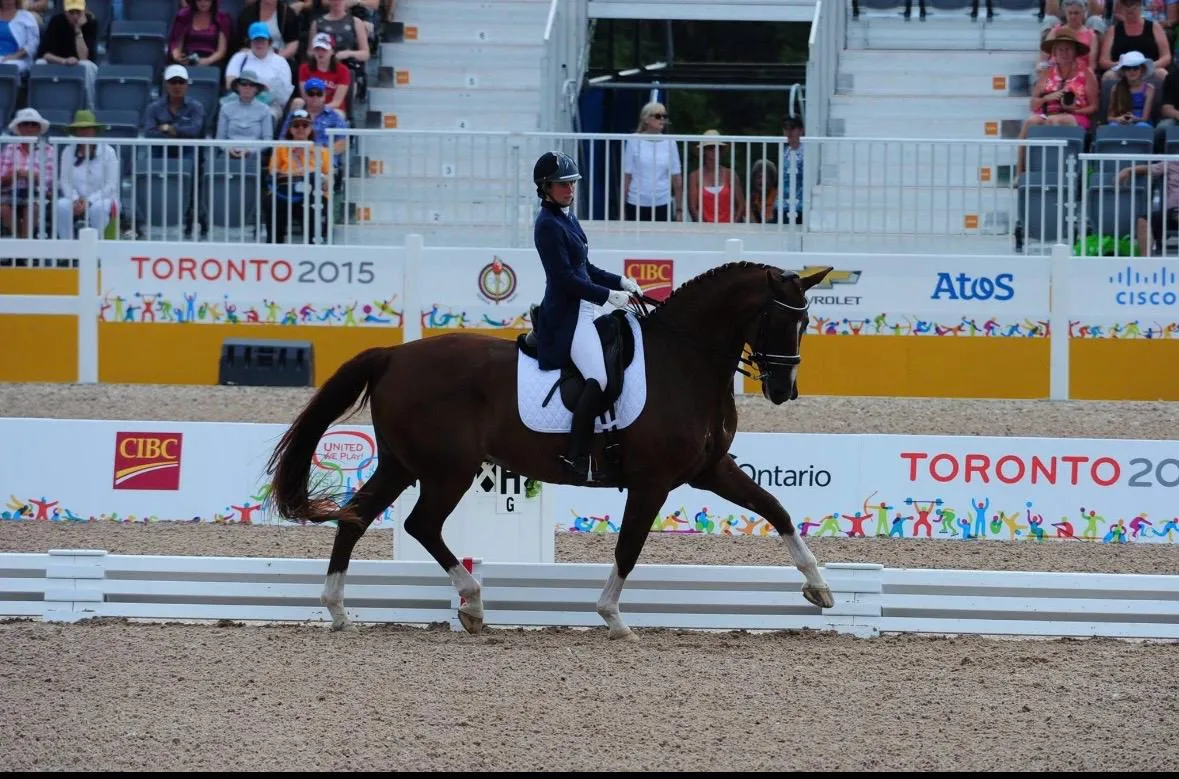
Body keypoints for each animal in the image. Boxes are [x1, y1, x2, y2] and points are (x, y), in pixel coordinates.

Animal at [265, 261, 836, 641]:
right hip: (448, 470)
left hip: (403, 464)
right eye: (779, 320)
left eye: (806, 322)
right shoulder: (653, 481)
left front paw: (819, 587)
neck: (685, 361)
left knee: (357, 517)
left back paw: (339, 610)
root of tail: (394, 355)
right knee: (420, 524)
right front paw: (613, 617)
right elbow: (629, 547)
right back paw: (473, 604)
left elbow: (777, 509)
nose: (783, 390)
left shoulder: (710, 469)